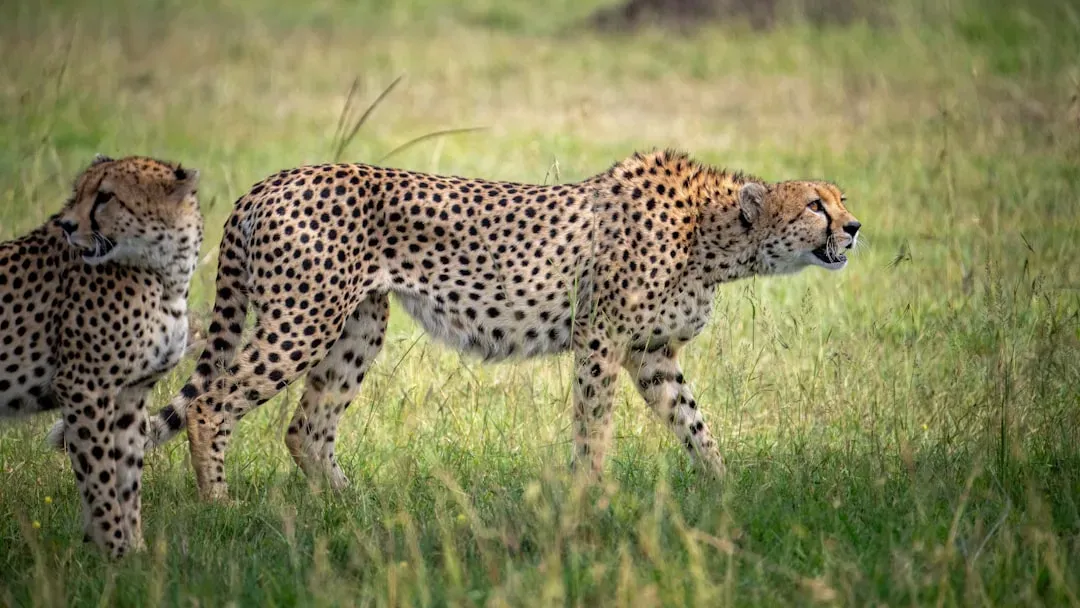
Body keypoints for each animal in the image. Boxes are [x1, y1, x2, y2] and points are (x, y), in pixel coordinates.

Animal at [1, 154, 203, 557]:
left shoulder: (130, 394)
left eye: (106, 196)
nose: (66, 225)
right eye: (79, 192)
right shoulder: (84, 388)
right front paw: (114, 551)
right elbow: (99, 478)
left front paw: (135, 552)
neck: (166, 275)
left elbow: (128, 476)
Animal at [47, 149, 860, 502]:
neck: (716, 234)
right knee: (213, 405)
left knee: (306, 427)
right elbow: (593, 424)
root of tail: (270, 181)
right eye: (815, 204)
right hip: (303, 318)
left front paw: (724, 488)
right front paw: (592, 497)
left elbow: (696, 422)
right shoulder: (600, 339)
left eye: (840, 197)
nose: (854, 228)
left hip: (357, 325)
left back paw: (352, 507)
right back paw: (221, 506)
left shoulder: (652, 355)